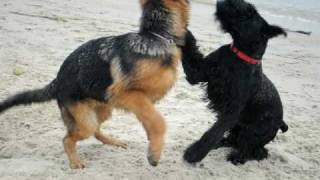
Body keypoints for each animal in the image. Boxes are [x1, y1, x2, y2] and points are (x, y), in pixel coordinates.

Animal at [0, 0, 190, 169]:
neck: (155, 36)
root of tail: (57, 80)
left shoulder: (142, 102)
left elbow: (150, 120)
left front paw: (152, 144)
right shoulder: (127, 94)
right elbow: (158, 122)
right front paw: (154, 153)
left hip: (103, 109)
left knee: (96, 131)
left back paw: (113, 141)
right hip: (87, 120)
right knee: (69, 138)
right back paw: (75, 162)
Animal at [181, 0, 288, 165]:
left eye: (250, 13)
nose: (228, 1)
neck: (239, 56)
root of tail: (281, 121)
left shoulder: (231, 111)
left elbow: (213, 132)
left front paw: (193, 154)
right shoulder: (197, 73)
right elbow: (190, 48)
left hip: (252, 133)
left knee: (256, 150)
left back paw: (237, 157)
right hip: (239, 128)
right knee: (234, 140)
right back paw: (222, 144)